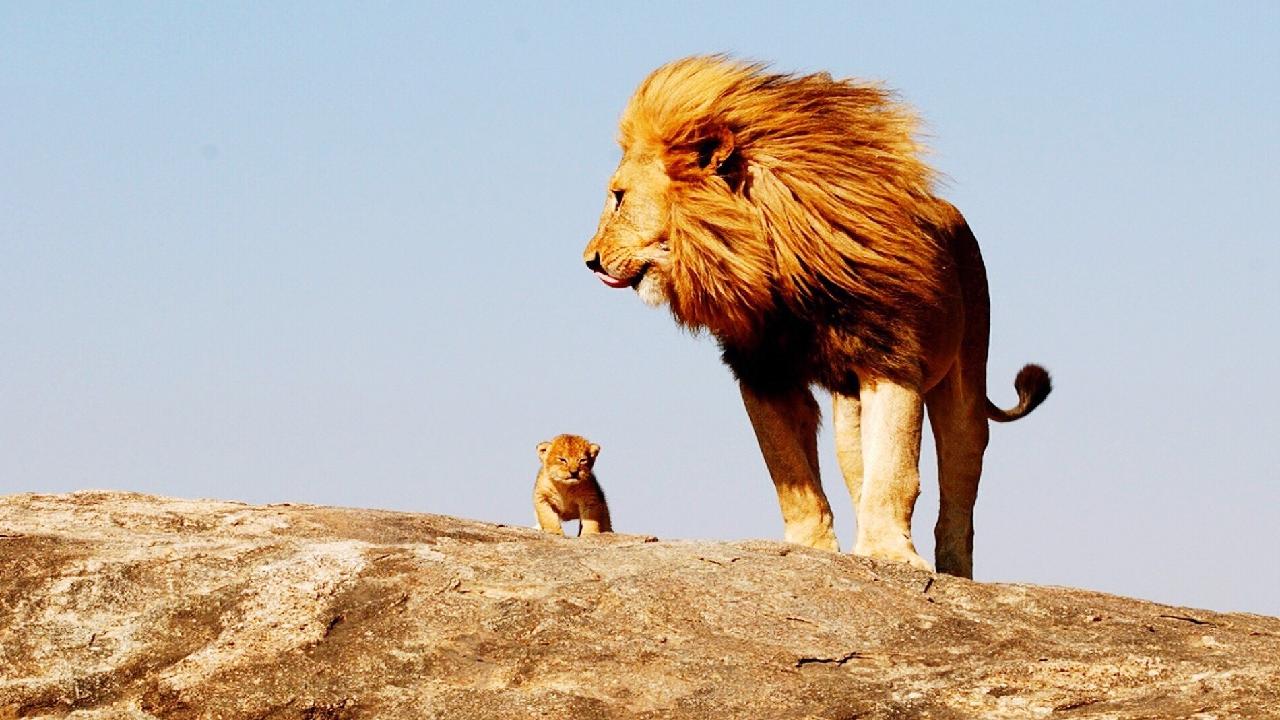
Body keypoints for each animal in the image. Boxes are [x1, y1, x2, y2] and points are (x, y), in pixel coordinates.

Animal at [583, 56, 1049, 573]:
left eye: (618, 197)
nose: (590, 260)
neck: (773, 266)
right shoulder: (763, 372)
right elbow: (790, 472)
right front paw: (814, 547)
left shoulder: (890, 359)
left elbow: (895, 469)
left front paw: (889, 554)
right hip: (849, 412)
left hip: (963, 382)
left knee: (959, 482)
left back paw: (953, 570)